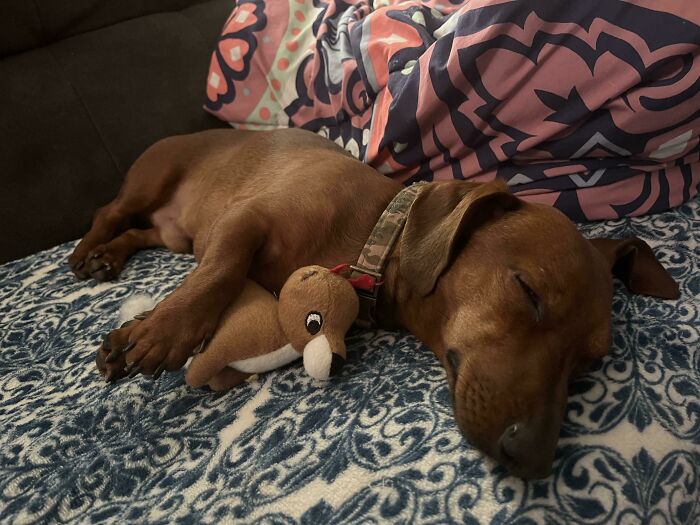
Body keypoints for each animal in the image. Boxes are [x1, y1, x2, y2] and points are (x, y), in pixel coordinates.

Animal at [71, 128, 680, 478]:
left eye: (587, 362)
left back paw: (108, 258)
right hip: (151, 181)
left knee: (140, 233)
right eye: (528, 293)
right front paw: (160, 330)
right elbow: (220, 272)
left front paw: (149, 326)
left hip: (171, 232)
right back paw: (85, 254)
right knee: (108, 212)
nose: (532, 460)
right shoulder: (244, 221)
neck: (373, 231)